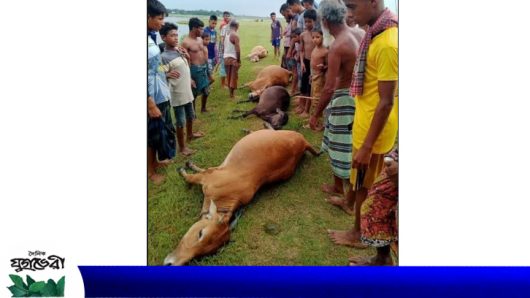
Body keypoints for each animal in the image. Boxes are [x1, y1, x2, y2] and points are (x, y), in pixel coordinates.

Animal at [163, 129, 318, 266]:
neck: (226, 196)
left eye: (205, 253)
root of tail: (303, 142)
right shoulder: (208, 175)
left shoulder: (206, 177)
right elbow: (196, 173)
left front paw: (185, 167)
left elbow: (190, 176)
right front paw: (188, 165)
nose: (171, 264)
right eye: (200, 233)